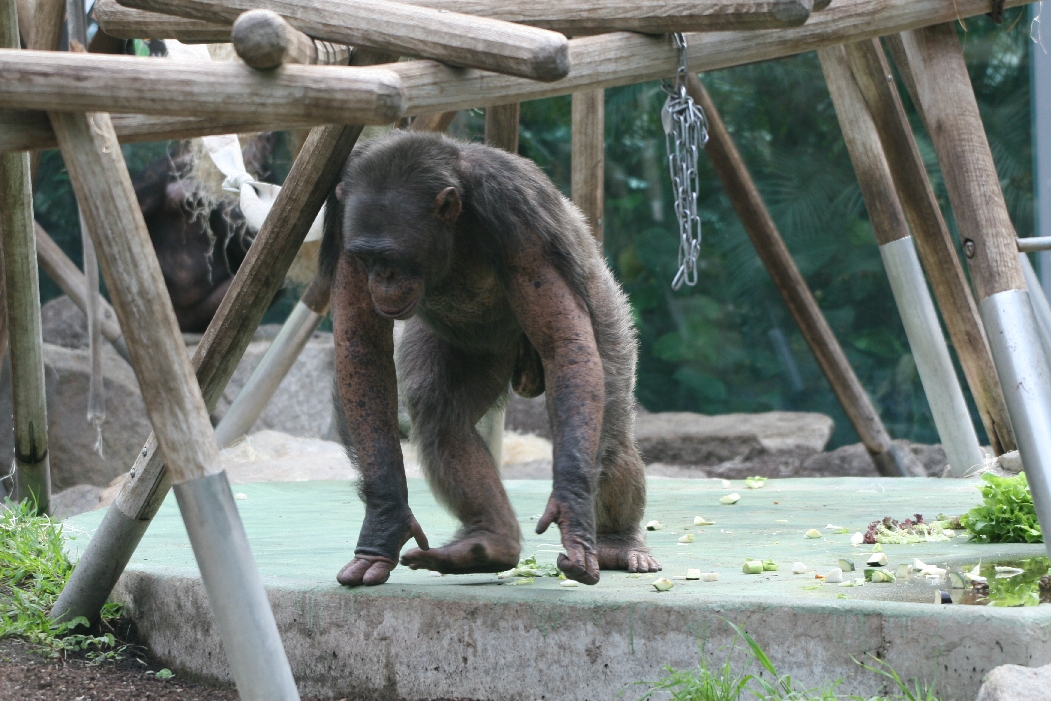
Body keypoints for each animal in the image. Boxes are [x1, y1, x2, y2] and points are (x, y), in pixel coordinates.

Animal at [323, 130, 660, 586]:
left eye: (393, 259)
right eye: (367, 258)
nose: (382, 278)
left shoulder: (518, 215)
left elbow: (566, 343)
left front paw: (571, 504)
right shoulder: (343, 222)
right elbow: (361, 349)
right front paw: (384, 523)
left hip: (605, 308)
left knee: (610, 436)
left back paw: (619, 543)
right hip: (475, 350)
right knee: (441, 412)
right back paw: (489, 542)